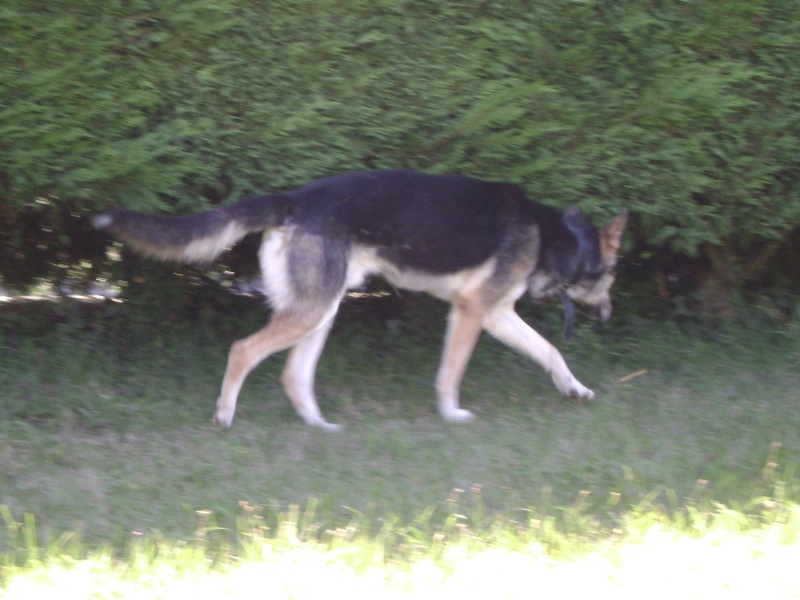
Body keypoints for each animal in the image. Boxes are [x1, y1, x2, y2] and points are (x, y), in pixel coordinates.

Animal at [94, 171, 628, 428]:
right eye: (613, 273)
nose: (608, 315)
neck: (555, 237)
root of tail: (294, 199)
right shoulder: (472, 312)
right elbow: (450, 375)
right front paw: (451, 415)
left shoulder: (496, 315)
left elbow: (551, 351)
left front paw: (575, 389)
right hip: (312, 311)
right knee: (243, 350)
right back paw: (225, 415)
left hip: (322, 312)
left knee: (293, 375)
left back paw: (319, 426)